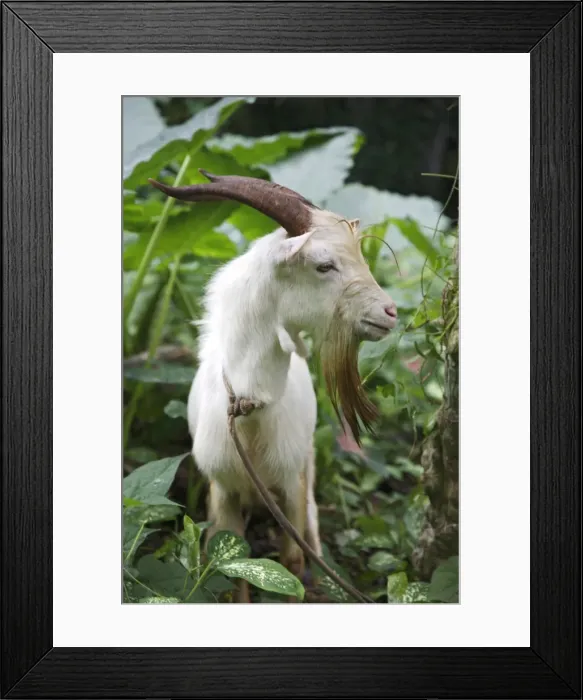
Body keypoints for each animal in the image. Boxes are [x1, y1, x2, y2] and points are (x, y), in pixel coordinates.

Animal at [150, 171, 398, 602]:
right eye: (324, 265)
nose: (391, 312)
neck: (248, 409)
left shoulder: (289, 483)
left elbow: (293, 561)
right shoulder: (223, 491)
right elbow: (233, 568)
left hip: (307, 468)